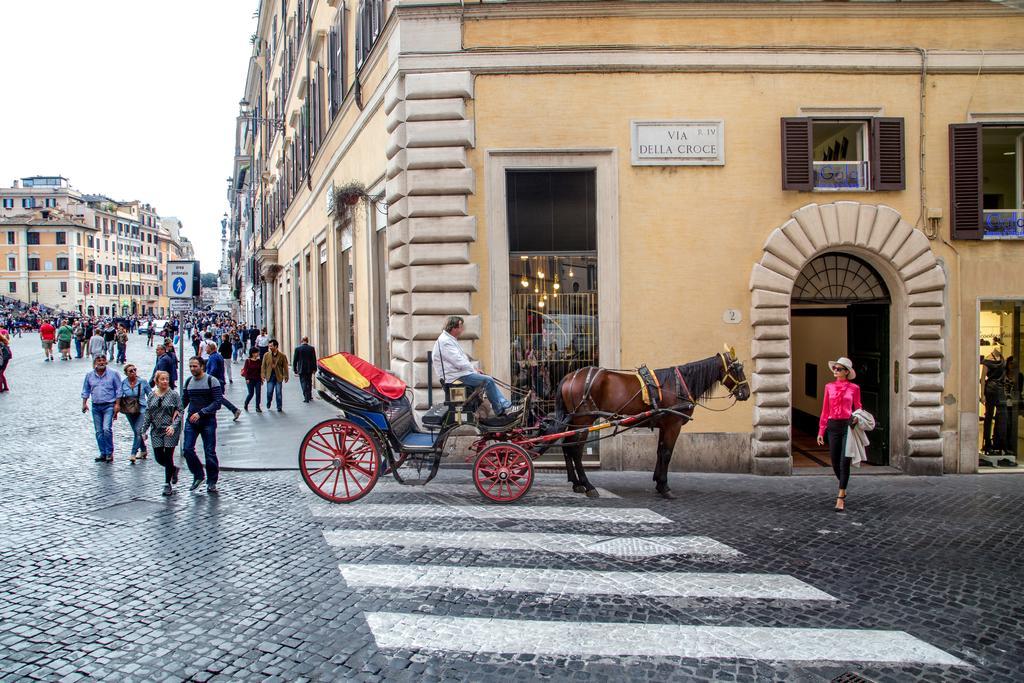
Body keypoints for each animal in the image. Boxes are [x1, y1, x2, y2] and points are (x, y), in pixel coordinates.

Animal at [544, 348, 753, 497]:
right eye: (738, 369)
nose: (746, 392)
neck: (679, 384)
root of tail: (570, 376)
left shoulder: (664, 425)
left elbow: (660, 452)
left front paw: (658, 482)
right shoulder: (673, 424)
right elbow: (667, 453)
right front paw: (665, 487)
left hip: (574, 420)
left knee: (566, 446)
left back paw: (576, 483)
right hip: (584, 420)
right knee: (576, 450)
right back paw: (588, 486)